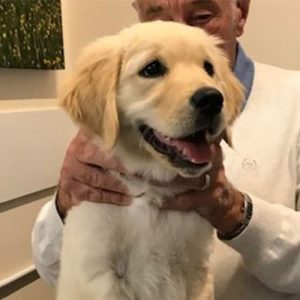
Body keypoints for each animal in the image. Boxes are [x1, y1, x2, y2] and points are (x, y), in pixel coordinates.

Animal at [56, 21, 244, 300]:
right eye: (152, 68)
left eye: (208, 68)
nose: (212, 99)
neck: (152, 188)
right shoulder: (101, 274)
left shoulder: (196, 270)